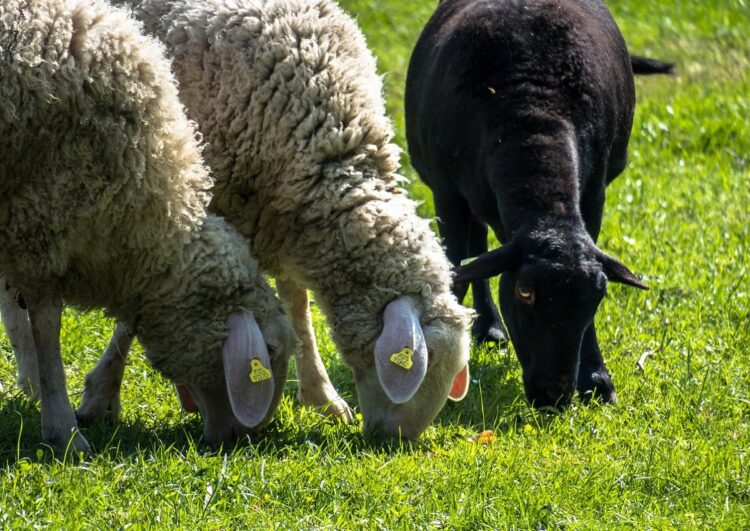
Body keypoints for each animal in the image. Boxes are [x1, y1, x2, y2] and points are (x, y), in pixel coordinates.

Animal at [65, 0, 474, 441]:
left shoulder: (280, 216)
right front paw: (100, 395)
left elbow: (297, 306)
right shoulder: (169, 207)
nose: (394, 440)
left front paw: (322, 395)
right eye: (423, 359)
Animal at [405, 0, 653, 408]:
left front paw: (596, 378)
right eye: (525, 291)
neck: (533, 113)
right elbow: (456, 270)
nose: (553, 394)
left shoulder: (593, 194)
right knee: (476, 250)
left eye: (597, 296)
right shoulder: (447, 193)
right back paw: (488, 326)